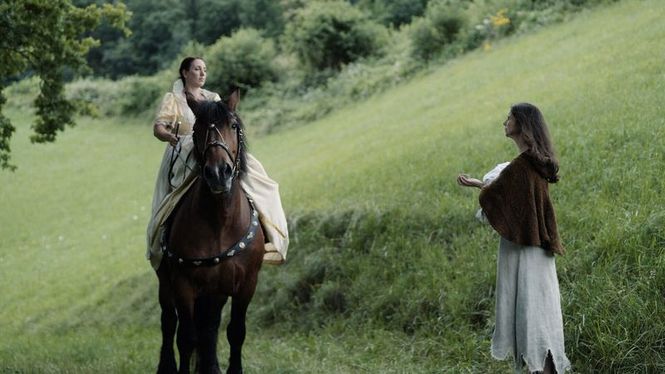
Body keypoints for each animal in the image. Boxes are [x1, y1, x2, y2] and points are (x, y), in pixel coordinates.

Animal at [155, 91, 262, 374]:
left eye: (233, 126)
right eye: (196, 130)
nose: (217, 173)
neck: (220, 223)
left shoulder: (246, 284)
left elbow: (235, 332)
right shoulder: (183, 285)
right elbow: (186, 338)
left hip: (216, 291)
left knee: (209, 327)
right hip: (166, 282)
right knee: (169, 322)